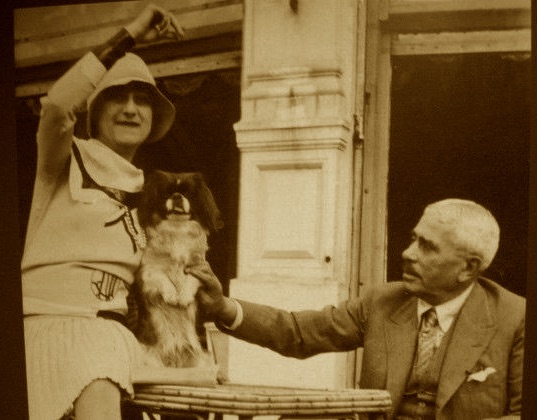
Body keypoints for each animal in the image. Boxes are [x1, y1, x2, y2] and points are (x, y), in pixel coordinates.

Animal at [132, 170, 223, 369]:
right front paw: (173, 296)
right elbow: (161, 277)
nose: (177, 196)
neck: (177, 231)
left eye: (188, 193)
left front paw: (184, 296)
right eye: (167, 192)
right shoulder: (148, 271)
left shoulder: (200, 268)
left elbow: (192, 279)